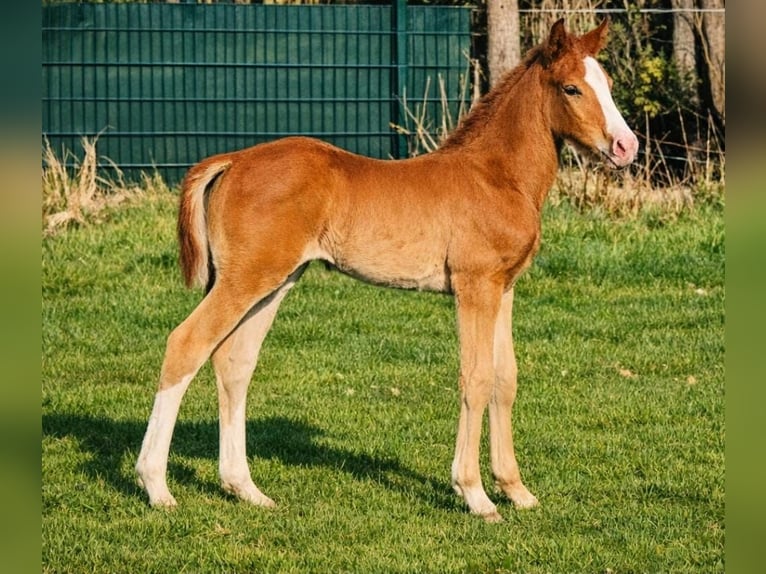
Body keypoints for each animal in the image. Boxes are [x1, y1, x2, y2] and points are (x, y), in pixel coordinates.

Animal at [135, 18, 638, 522]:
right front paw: (475, 494)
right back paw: (157, 487)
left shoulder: (504, 288)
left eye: (609, 84)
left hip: (274, 281)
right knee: (186, 345)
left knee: (234, 361)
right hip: (246, 279)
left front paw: (516, 490)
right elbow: (474, 378)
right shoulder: (475, 286)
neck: (496, 176)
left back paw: (245, 488)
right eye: (571, 88)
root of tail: (233, 161)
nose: (625, 145)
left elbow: (504, 379)